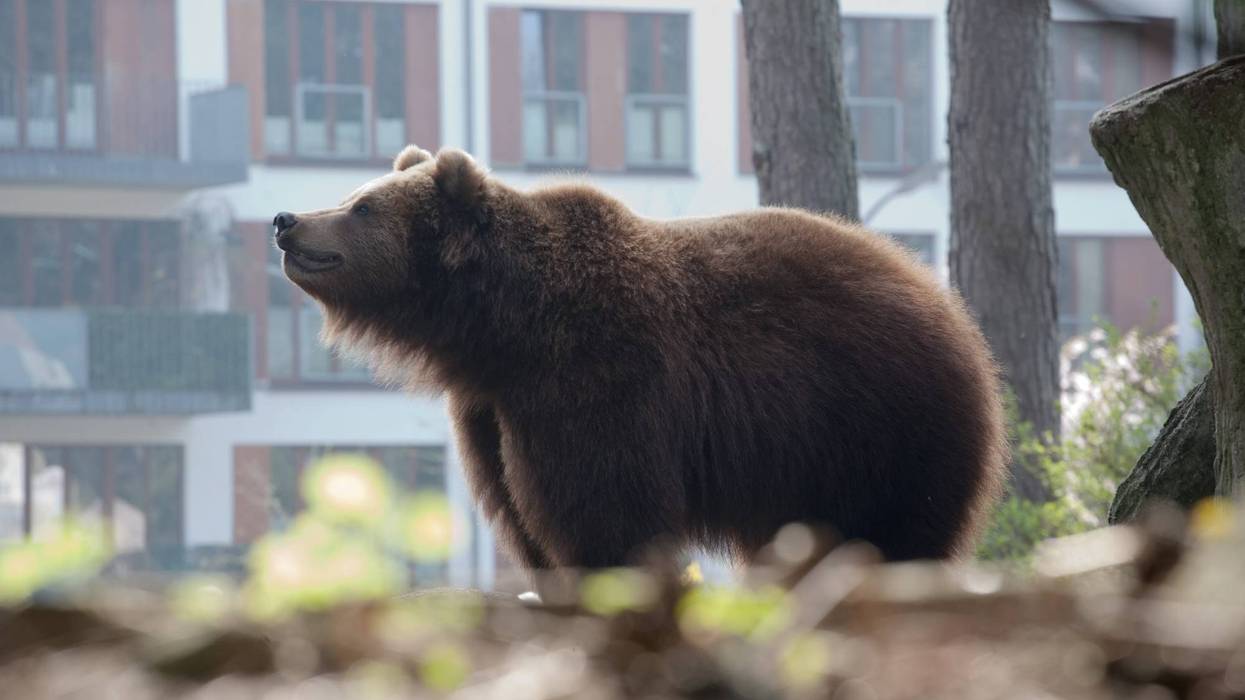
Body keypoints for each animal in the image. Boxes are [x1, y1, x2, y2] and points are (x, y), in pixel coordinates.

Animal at [274, 145, 1008, 585]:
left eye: (362, 205)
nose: (287, 219)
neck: (502, 325)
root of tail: (947, 305)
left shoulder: (596, 373)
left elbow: (603, 504)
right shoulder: (490, 407)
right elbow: (518, 507)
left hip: (876, 420)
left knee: (893, 527)